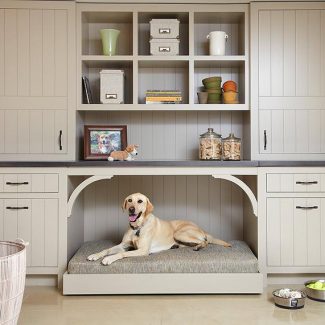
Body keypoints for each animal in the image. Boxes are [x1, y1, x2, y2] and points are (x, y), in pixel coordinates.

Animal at [86, 192, 230, 264]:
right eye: (130, 200)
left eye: (140, 201)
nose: (131, 209)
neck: (137, 227)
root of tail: (200, 227)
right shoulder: (123, 245)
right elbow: (107, 249)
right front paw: (95, 255)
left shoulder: (143, 250)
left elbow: (121, 254)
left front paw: (108, 259)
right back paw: (177, 246)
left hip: (179, 233)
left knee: (205, 241)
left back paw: (199, 247)